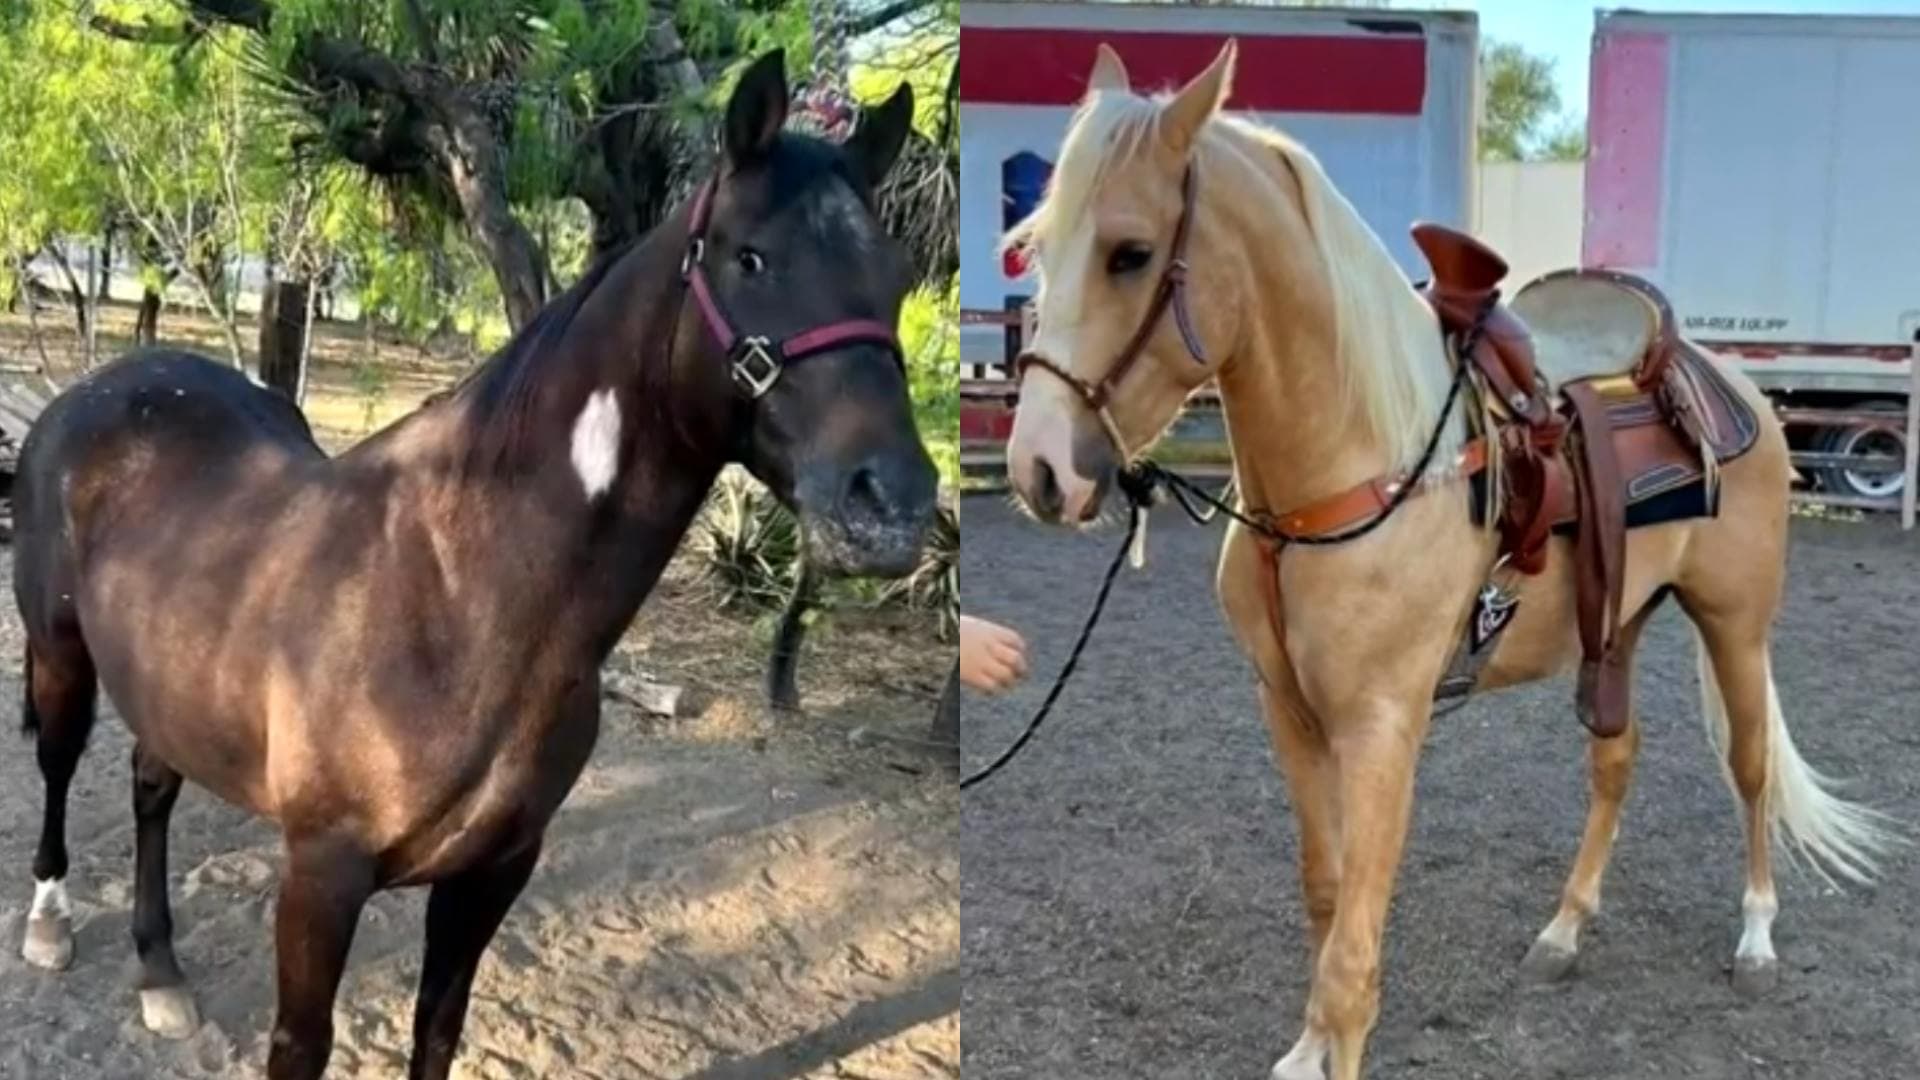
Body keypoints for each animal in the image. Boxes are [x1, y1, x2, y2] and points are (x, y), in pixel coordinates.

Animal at [12, 49, 935, 1080]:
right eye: (751, 256)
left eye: (896, 276)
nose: (891, 503)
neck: (462, 597)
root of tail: (105, 389)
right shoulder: (321, 876)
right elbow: (301, 1044)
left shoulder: (494, 871)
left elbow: (438, 1029)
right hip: (61, 656)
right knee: (60, 765)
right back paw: (50, 924)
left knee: (152, 785)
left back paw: (160, 971)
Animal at [1000, 41, 1897, 1080]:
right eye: (1037, 247)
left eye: (1132, 253)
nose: (1040, 469)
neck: (1356, 465)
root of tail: (1728, 381)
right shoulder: (1289, 712)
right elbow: (1326, 895)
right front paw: (1305, 1051)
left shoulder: (1385, 728)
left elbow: (1353, 962)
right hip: (1618, 623)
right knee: (1616, 761)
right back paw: (1562, 931)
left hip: (1735, 626)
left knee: (1749, 768)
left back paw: (1755, 939)